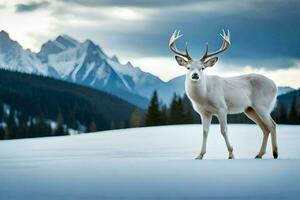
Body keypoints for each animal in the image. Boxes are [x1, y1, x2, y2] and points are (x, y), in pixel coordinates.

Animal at [169, 29, 278, 159]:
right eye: (188, 67)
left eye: (202, 68)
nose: (195, 75)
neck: (204, 96)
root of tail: (275, 85)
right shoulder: (204, 112)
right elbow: (205, 132)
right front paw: (200, 155)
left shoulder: (222, 107)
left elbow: (223, 130)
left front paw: (231, 154)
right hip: (250, 109)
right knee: (265, 128)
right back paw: (259, 154)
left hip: (262, 105)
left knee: (272, 125)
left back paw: (275, 154)